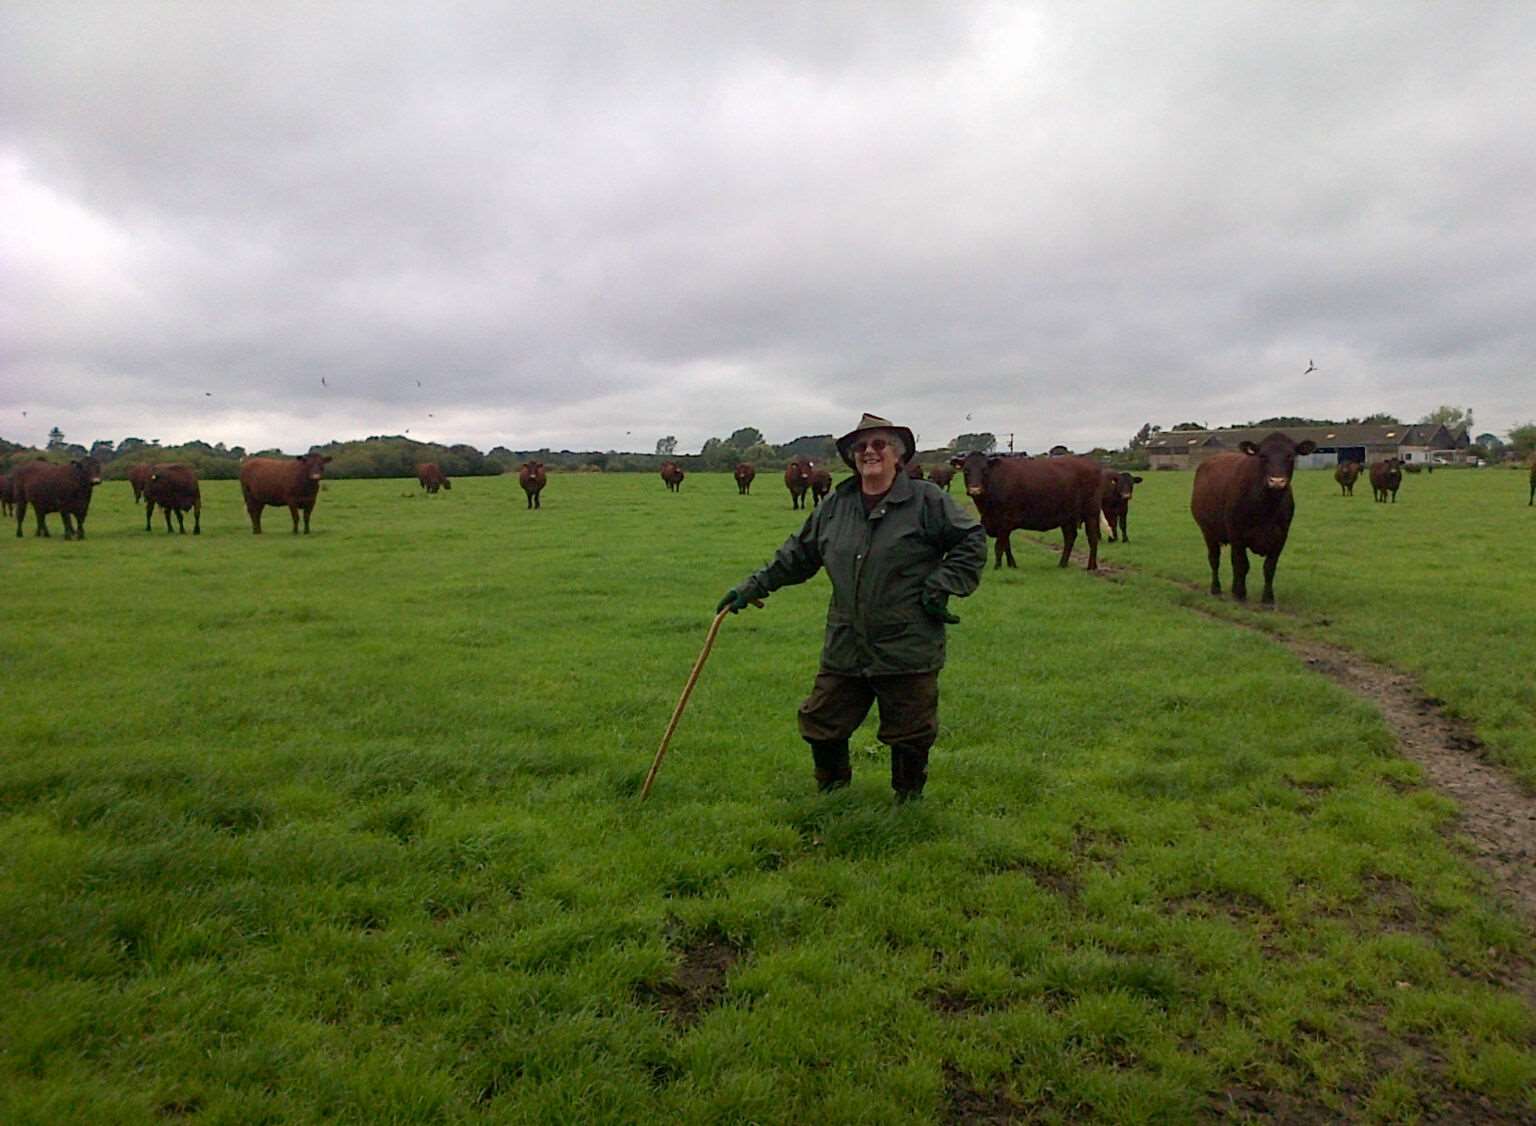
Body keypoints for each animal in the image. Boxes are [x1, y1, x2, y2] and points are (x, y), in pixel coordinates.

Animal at [946, 451, 1105, 571]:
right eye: (966, 471)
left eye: (984, 471)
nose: (975, 489)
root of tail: (1091, 463)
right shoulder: (1000, 524)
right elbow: (1007, 545)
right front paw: (1012, 565)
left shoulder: (1005, 521)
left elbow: (999, 546)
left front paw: (997, 567)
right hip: (1067, 517)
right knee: (1070, 537)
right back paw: (1062, 564)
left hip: (1091, 512)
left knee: (1092, 538)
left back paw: (1091, 566)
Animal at [1185, 430, 1320, 605]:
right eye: (1263, 456)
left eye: (1290, 455)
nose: (1277, 481)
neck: (1267, 508)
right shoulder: (1237, 534)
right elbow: (1242, 565)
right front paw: (1240, 594)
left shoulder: (1281, 536)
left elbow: (1269, 567)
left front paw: (1268, 599)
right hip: (1208, 531)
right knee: (1215, 559)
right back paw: (1216, 589)